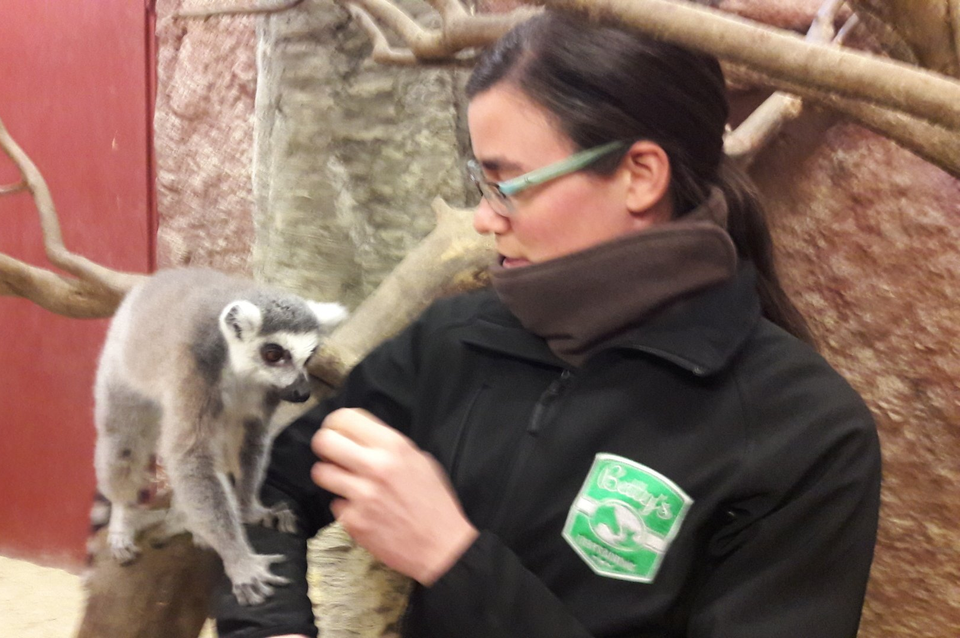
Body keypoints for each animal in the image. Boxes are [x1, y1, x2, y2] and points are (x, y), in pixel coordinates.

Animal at [93, 267, 347, 606]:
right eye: (273, 353)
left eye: (311, 355)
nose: (300, 393)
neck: (241, 373)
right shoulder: (196, 368)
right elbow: (190, 455)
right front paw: (240, 562)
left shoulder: (263, 395)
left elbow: (251, 442)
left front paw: (251, 509)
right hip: (122, 372)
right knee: (124, 444)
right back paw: (123, 516)